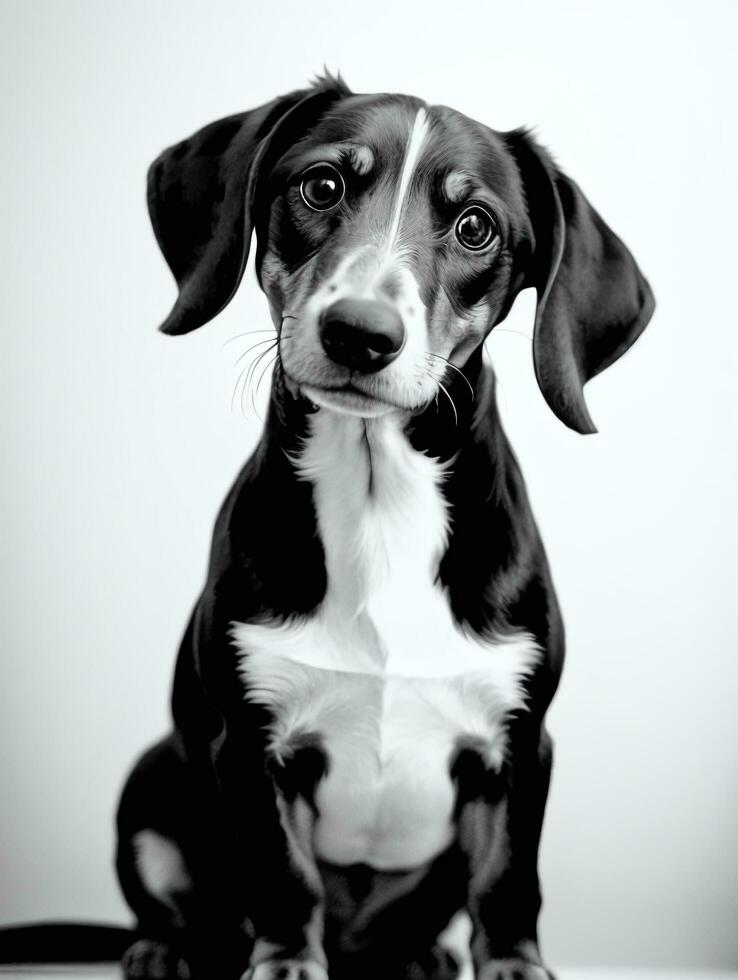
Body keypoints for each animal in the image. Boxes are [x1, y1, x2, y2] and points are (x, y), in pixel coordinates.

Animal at [116, 74, 656, 980]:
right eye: (323, 185)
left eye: (474, 226)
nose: (360, 334)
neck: (378, 502)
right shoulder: (250, 740)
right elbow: (284, 878)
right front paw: (286, 964)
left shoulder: (519, 744)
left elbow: (508, 881)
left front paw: (515, 967)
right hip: (153, 783)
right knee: (188, 908)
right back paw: (165, 950)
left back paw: (419, 956)